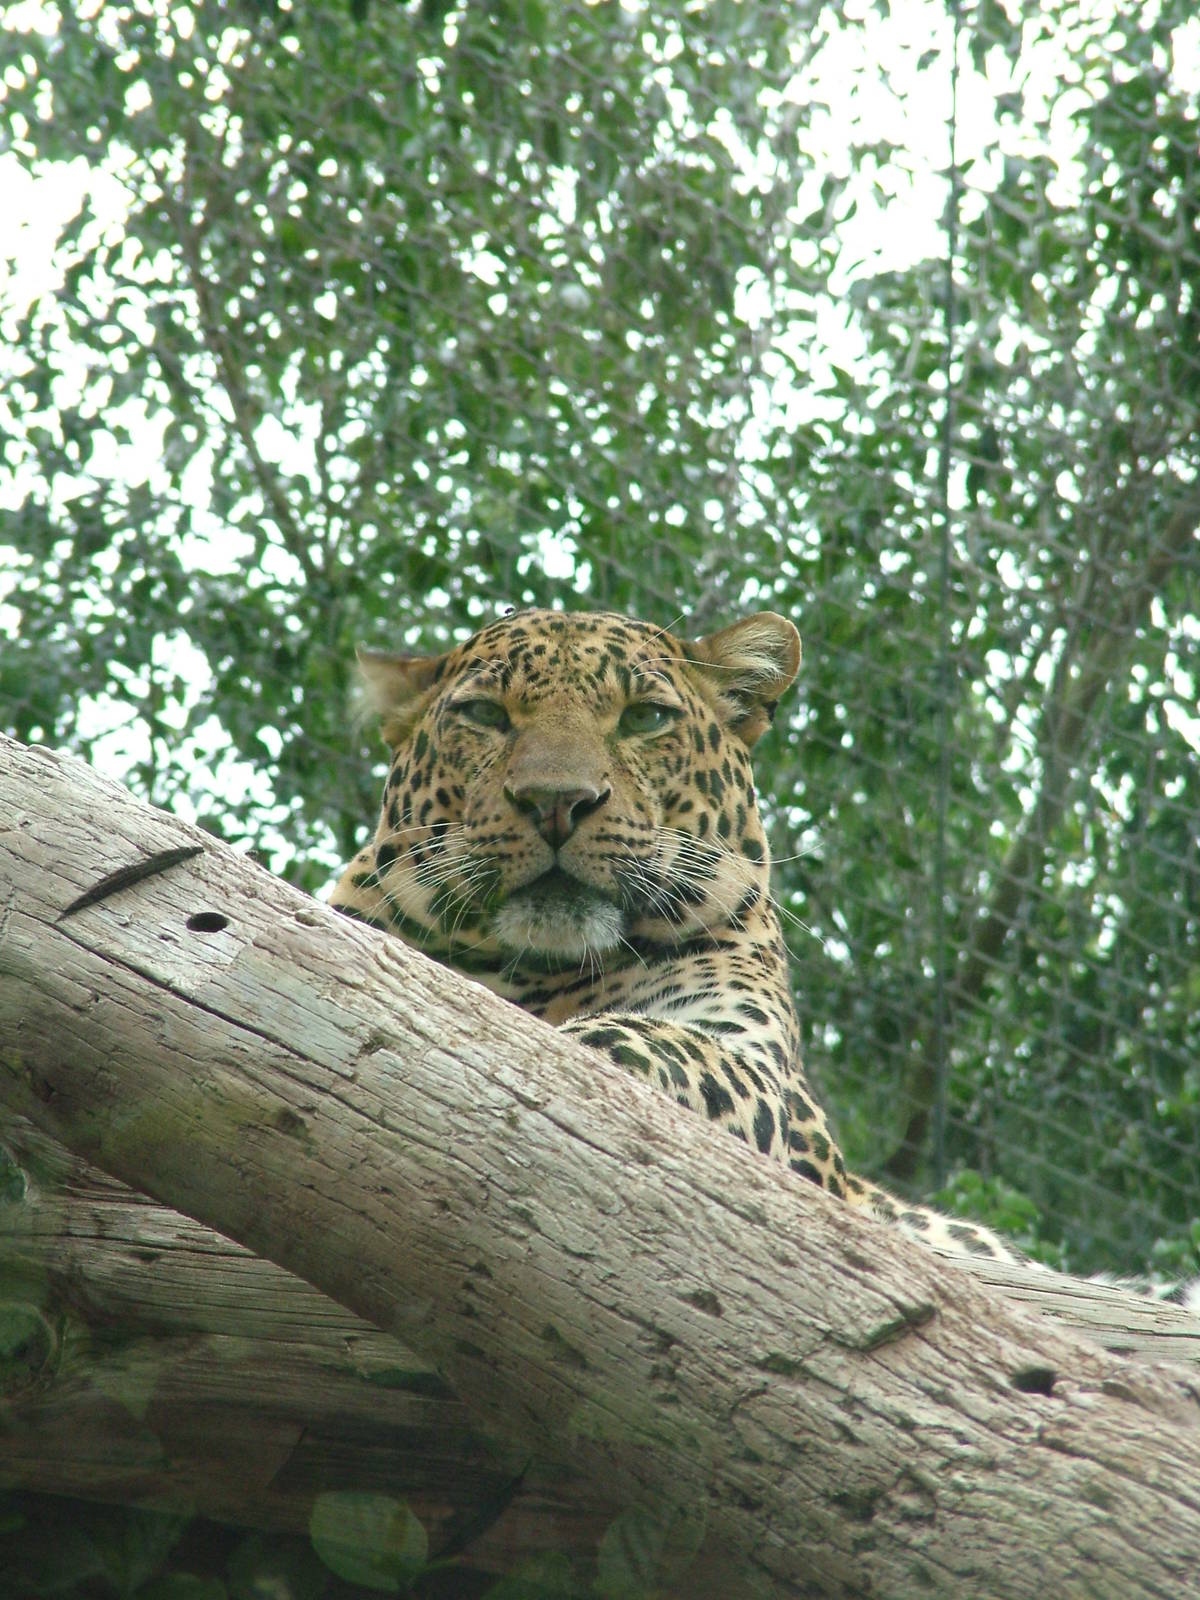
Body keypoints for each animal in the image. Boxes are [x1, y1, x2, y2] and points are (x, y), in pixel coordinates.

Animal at [328, 603, 1030, 1266]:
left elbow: (647, 1040)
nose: (555, 802)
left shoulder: (768, 1078)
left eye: (645, 719)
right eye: (484, 714)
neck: (533, 966)